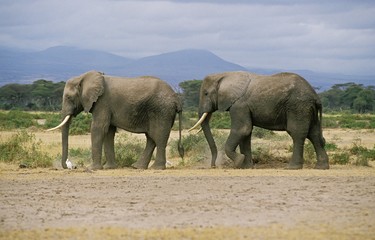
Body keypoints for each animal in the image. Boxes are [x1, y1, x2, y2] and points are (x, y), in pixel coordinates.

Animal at [47, 70, 185, 170]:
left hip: (162, 111)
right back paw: (137, 167)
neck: (85, 77)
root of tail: (177, 98)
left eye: (69, 98)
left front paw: (91, 168)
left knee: (159, 137)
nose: (69, 167)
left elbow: (98, 128)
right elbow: (108, 132)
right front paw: (109, 167)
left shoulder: (102, 102)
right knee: (151, 138)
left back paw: (156, 168)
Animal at [191, 71, 328, 171]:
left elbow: (242, 130)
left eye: (206, 93)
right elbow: (246, 133)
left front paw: (239, 162)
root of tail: (316, 97)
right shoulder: (243, 107)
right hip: (308, 109)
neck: (225, 75)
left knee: (297, 133)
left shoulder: (239, 105)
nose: (213, 166)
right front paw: (246, 167)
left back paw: (292, 167)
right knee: (314, 134)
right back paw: (321, 167)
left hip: (298, 106)